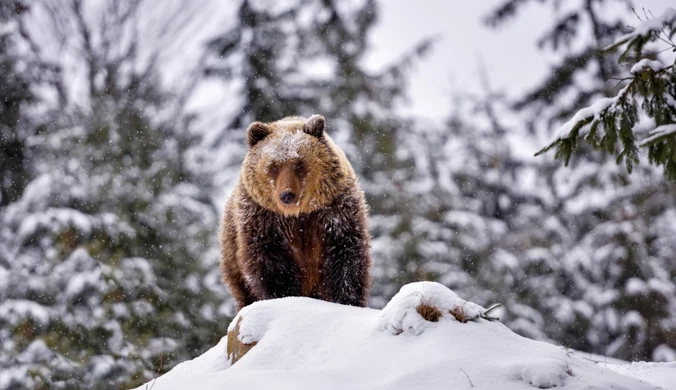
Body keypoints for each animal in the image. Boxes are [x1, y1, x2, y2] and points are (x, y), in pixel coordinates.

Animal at [220, 115, 370, 310]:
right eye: (274, 166)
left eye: (299, 163)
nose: (287, 195)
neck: (298, 214)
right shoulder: (263, 218)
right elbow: (269, 263)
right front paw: (284, 297)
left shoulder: (334, 212)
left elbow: (345, 258)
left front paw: (346, 300)